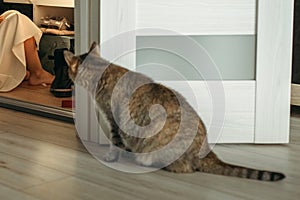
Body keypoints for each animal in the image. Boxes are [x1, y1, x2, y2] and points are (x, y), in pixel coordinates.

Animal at [64, 42, 284, 181]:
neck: (102, 72)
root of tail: (208, 151)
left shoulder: (114, 120)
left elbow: (115, 143)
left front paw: (112, 157)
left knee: (185, 168)